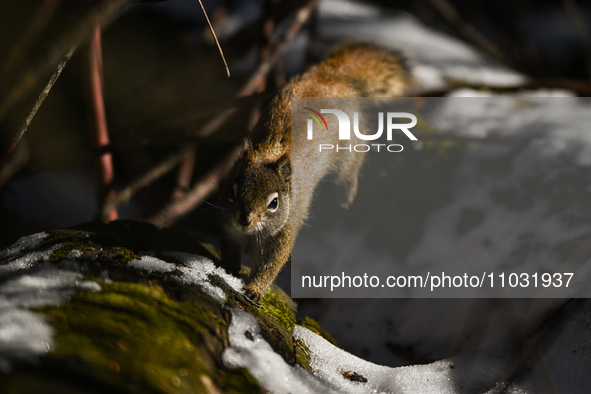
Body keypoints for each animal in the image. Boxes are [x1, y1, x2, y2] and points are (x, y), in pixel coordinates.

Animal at [217, 43, 412, 304]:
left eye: (274, 203)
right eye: (232, 192)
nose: (244, 219)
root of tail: (332, 77)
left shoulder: (284, 231)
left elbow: (269, 265)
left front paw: (254, 290)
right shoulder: (228, 225)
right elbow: (230, 248)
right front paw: (228, 269)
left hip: (348, 149)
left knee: (351, 167)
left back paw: (347, 193)